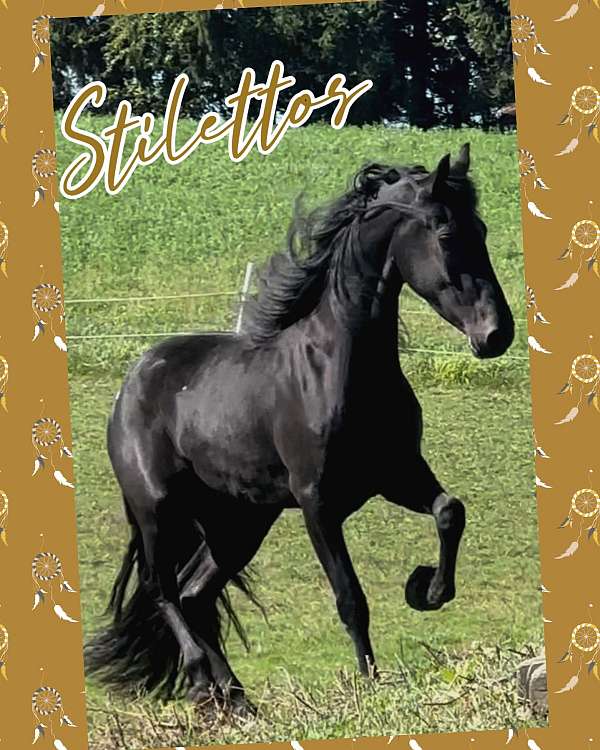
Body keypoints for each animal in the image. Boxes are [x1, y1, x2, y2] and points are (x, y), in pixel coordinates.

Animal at [85, 143, 514, 713]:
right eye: (445, 233)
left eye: (482, 230)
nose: (497, 334)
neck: (340, 366)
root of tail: (134, 380)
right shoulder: (318, 502)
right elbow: (351, 598)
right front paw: (369, 685)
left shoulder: (397, 474)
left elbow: (450, 511)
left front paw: (425, 590)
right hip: (158, 509)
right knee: (163, 589)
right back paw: (202, 681)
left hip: (239, 522)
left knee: (196, 593)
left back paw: (236, 700)